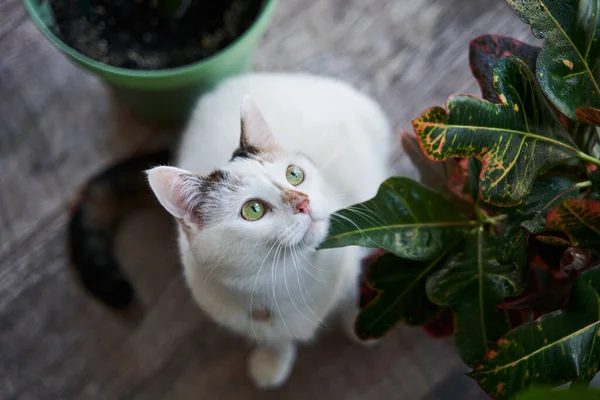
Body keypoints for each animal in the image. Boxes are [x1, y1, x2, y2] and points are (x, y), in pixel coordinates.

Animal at [147, 72, 394, 388]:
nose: (303, 203)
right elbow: (274, 338)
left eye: (294, 174)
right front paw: (273, 361)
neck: (286, 275)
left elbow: (350, 295)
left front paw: (361, 324)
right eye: (253, 210)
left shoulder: (348, 267)